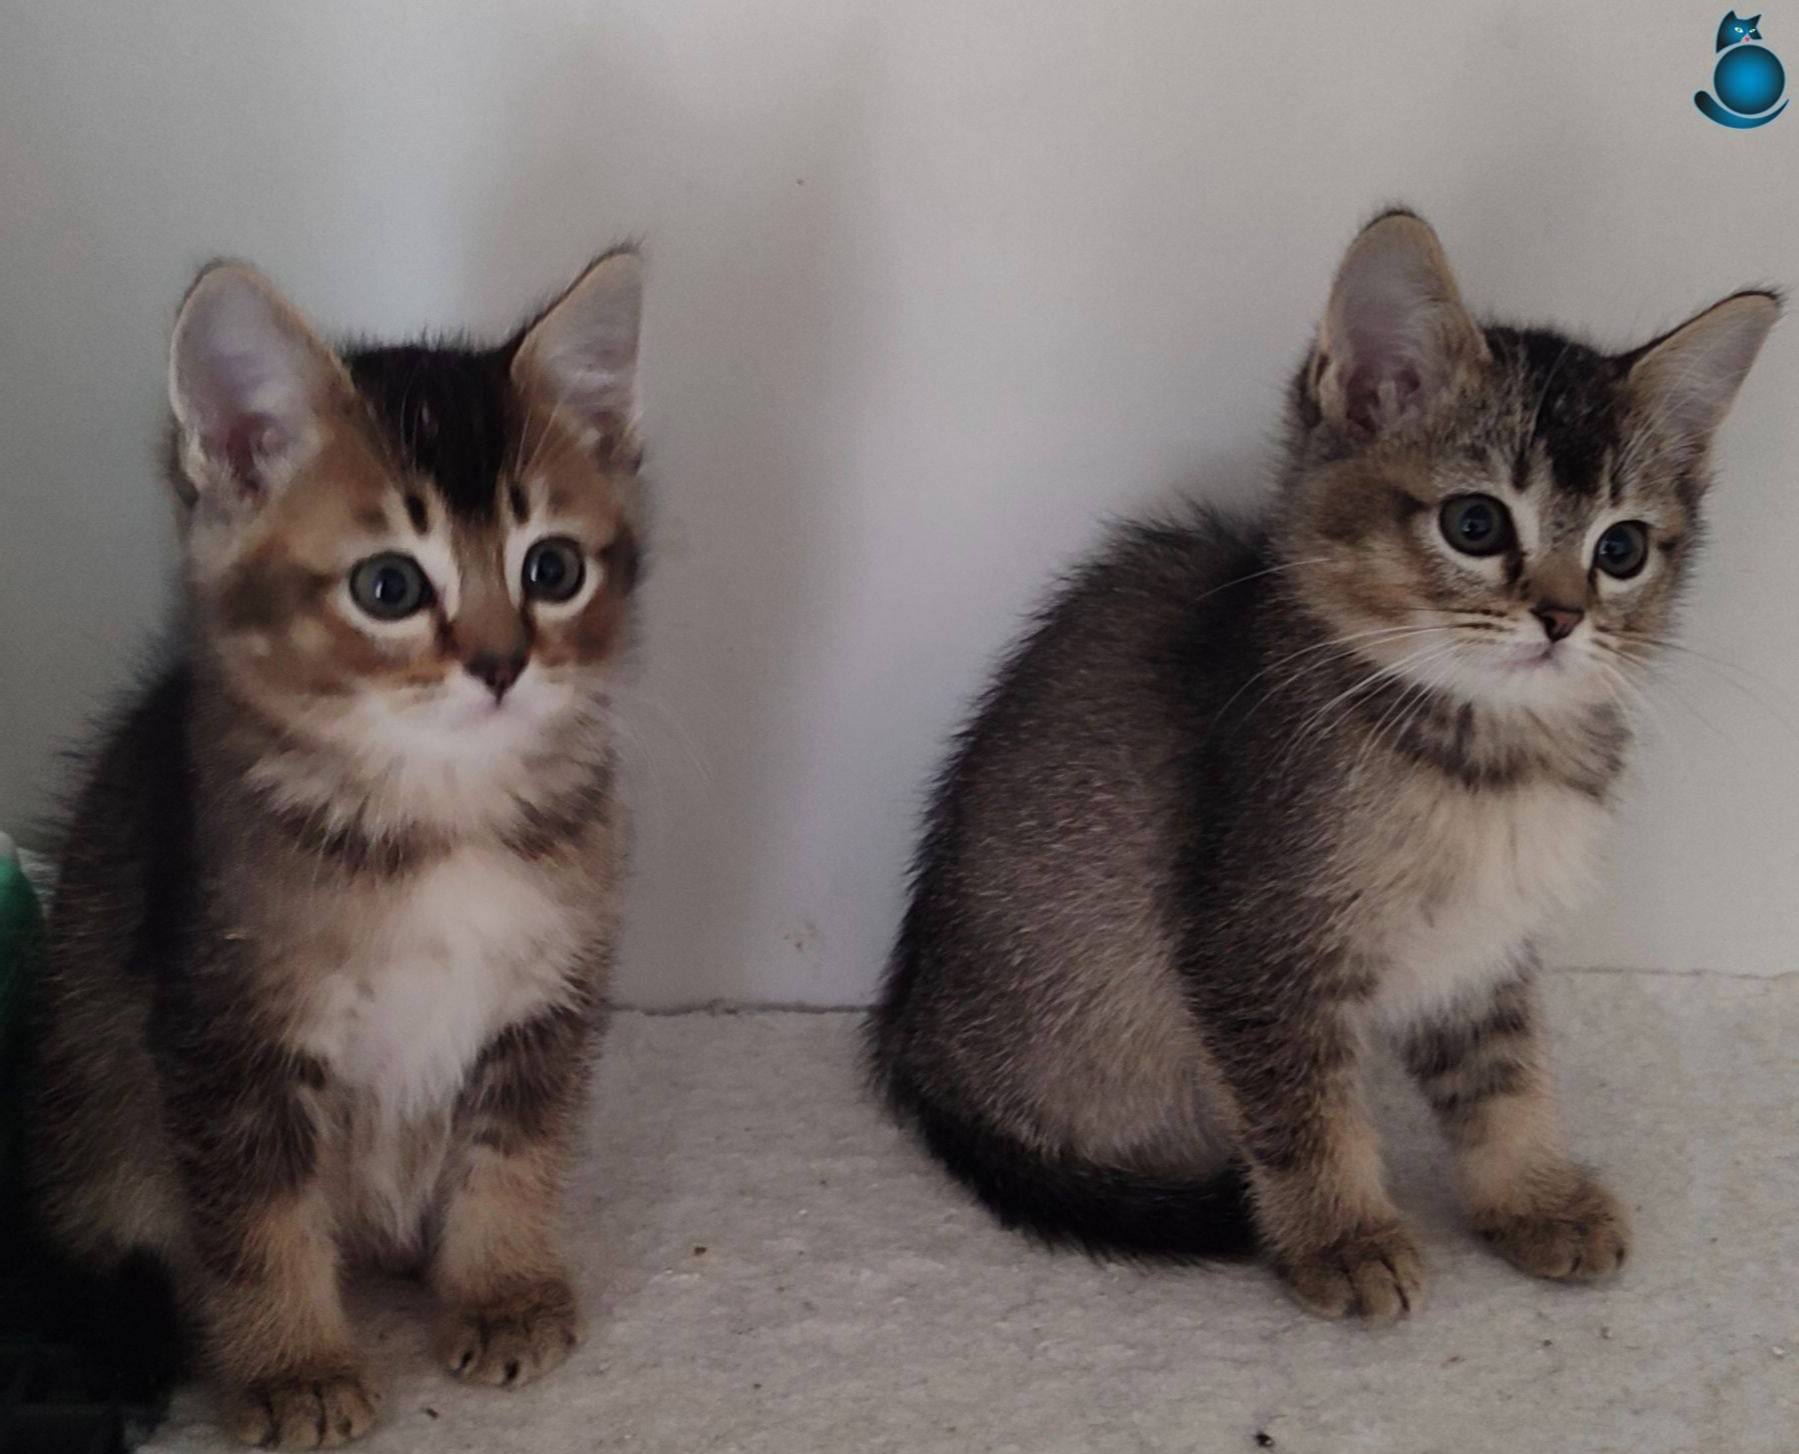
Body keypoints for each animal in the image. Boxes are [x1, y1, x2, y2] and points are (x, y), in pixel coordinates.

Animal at [25, 247, 645, 1446]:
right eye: (388, 586)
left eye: (551, 569)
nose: (501, 665)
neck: (440, 818)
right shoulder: (224, 1034)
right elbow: (259, 1225)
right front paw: (294, 1369)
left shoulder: (545, 1004)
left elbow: (514, 1157)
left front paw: (502, 1291)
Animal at [869, 210, 1777, 1321]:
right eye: (1474, 523)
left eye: (1621, 549)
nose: (1562, 618)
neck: (1487, 760)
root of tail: (909, 1048)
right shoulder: (1252, 945)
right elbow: (1302, 1110)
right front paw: (1342, 1235)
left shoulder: (1481, 948)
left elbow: (1507, 1074)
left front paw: (1532, 1195)